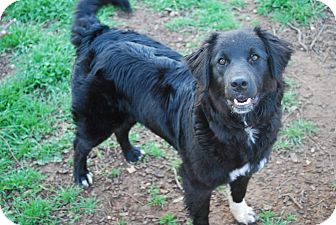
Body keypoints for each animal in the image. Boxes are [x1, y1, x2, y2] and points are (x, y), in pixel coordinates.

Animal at [70, 0, 292, 224]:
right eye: (221, 61)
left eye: (255, 57)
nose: (238, 84)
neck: (239, 126)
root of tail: (99, 33)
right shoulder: (195, 183)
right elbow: (201, 216)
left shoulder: (246, 169)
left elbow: (238, 193)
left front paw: (241, 214)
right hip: (98, 119)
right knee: (80, 144)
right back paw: (81, 175)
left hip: (132, 111)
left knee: (121, 129)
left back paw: (131, 153)